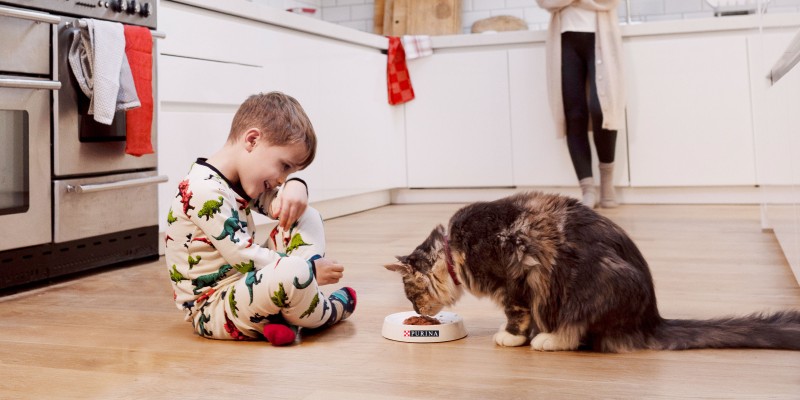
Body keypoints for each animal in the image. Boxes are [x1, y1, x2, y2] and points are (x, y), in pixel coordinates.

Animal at [386, 192, 800, 352]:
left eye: (413, 294)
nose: (418, 312)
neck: (453, 249)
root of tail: (652, 318)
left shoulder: (515, 278)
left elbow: (517, 315)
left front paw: (511, 337)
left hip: (593, 287)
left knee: (576, 335)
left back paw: (548, 339)